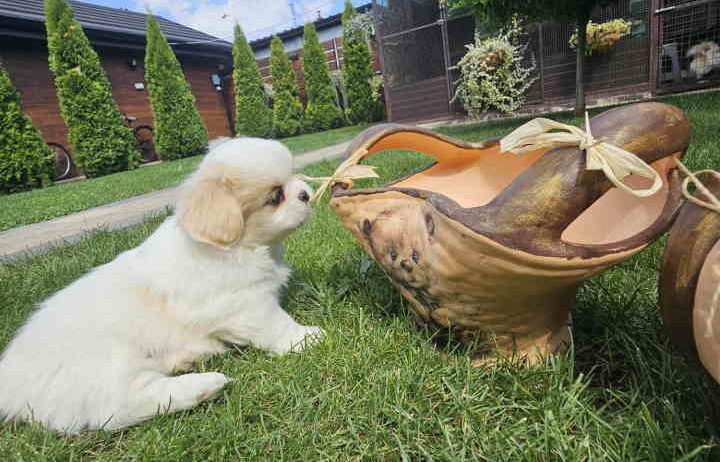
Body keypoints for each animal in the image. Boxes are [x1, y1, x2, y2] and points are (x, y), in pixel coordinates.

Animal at [0, 137, 322, 434]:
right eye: (275, 196)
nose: (306, 194)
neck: (238, 247)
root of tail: (11, 386)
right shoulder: (246, 305)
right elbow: (276, 325)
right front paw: (306, 337)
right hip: (111, 366)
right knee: (122, 407)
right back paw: (205, 385)